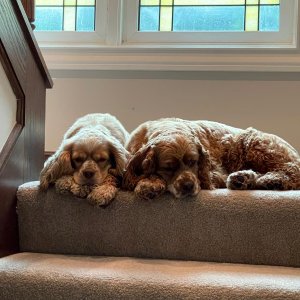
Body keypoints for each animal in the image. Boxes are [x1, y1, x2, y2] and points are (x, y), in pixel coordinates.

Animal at [122, 118, 300, 200]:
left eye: (193, 162)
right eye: (168, 168)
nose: (188, 186)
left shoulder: (215, 173)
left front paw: (149, 183)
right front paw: (149, 183)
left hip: (253, 142)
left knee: (293, 169)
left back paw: (271, 180)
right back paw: (243, 179)